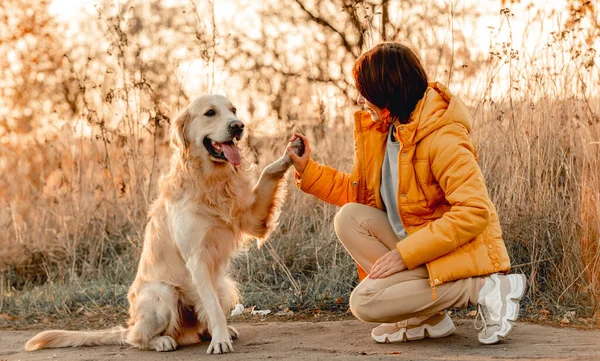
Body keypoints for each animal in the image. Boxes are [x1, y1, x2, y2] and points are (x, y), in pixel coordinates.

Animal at [24, 94, 304, 352]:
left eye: (233, 110)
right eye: (210, 113)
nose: (238, 126)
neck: (209, 181)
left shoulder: (252, 219)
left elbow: (268, 171)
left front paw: (290, 154)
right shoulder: (197, 260)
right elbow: (213, 309)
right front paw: (220, 341)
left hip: (225, 285)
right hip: (163, 292)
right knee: (136, 338)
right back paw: (162, 341)